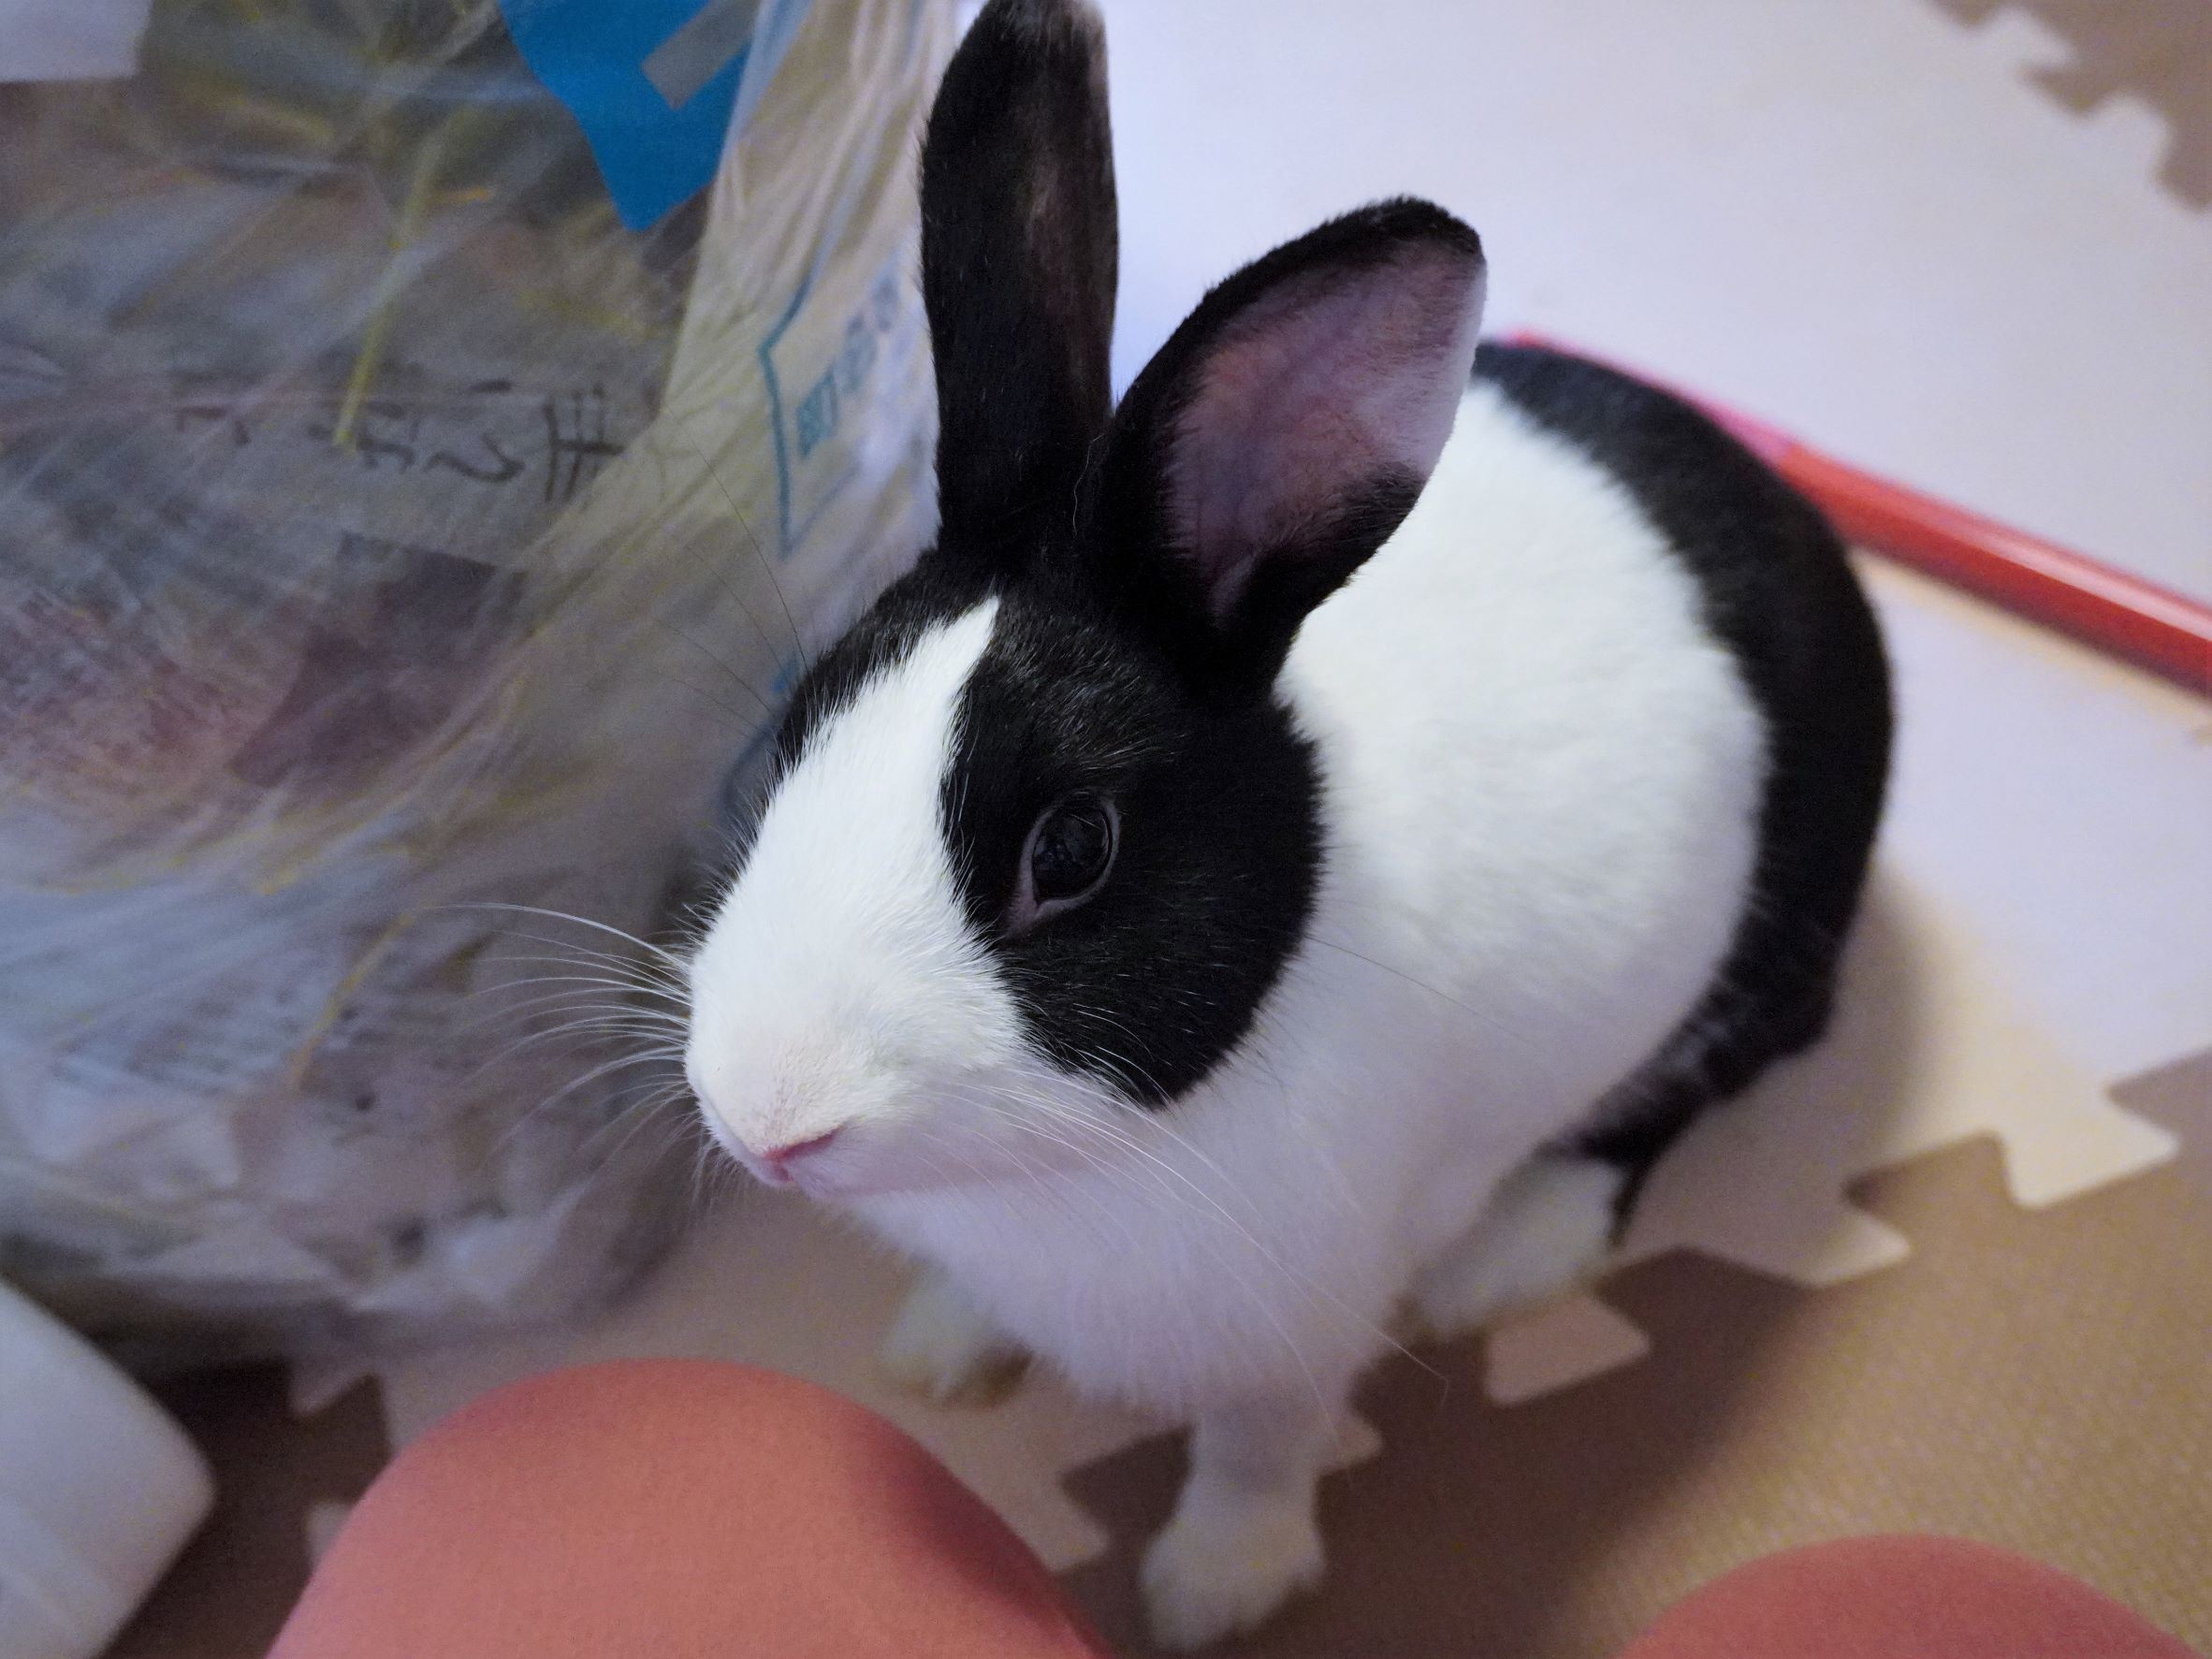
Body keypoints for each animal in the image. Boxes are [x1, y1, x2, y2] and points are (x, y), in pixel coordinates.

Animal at [681, 0, 1891, 1646]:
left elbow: (1260, 1447)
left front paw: (1215, 1591)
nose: (766, 1120)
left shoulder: (1301, 1325)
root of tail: (1794, 515)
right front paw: (942, 1350)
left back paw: (1510, 1256)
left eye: (1072, 851)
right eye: (792, 735)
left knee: (1690, 1091)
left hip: (1764, 949)